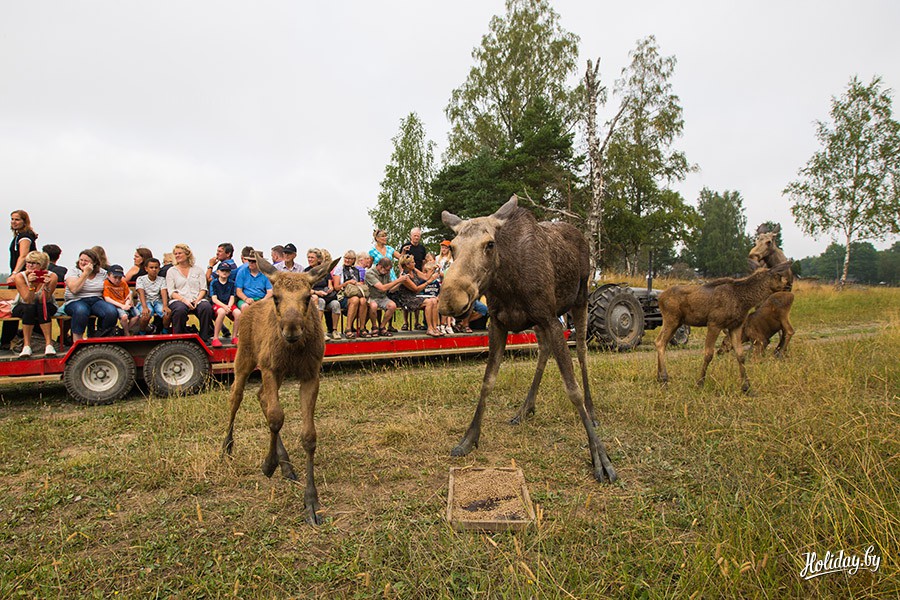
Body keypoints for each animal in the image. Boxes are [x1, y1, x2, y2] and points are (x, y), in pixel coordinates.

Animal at [222, 251, 338, 525]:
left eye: (307, 297)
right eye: (276, 297)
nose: (291, 328)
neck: (294, 350)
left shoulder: (310, 373)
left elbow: (308, 435)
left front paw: (311, 501)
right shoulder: (269, 367)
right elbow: (276, 417)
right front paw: (268, 464)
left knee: (261, 396)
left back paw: (286, 464)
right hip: (245, 358)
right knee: (237, 397)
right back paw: (227, 447)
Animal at [439, 195, 616, 483]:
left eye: (489, 244)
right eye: (452, 248)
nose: (450, 299)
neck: (508, 282)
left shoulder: (551, 319)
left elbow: (573, 390)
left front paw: (600, 457)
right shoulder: (498, 323)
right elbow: (487, 381)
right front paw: (469, 438)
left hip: (580, 299)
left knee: (581, 351)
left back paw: (591, 411)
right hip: (539, 322)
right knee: (544, 350)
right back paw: (525, 409)